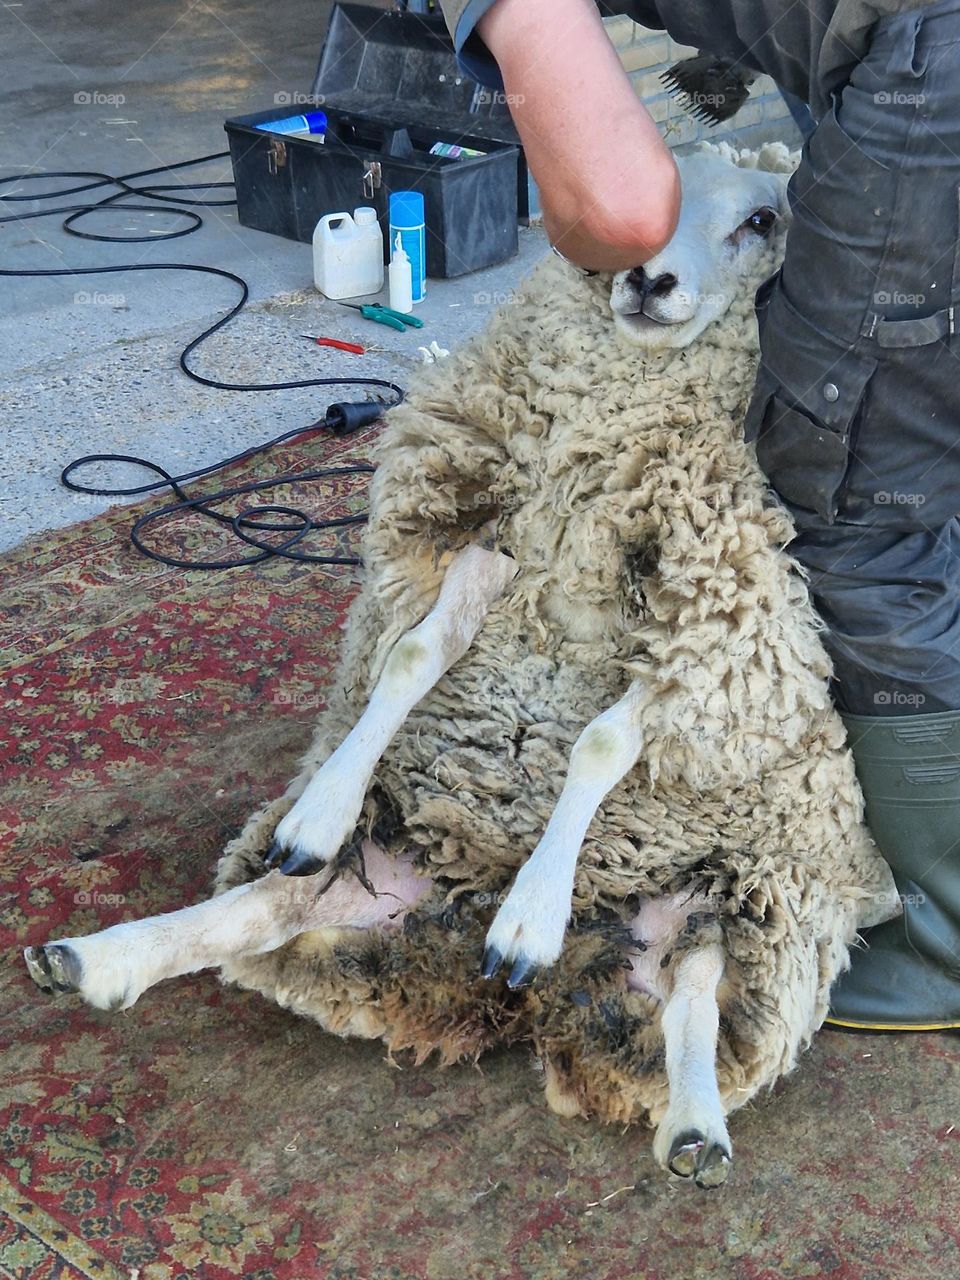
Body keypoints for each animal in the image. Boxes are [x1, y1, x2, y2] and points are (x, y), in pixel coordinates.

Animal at [24, 144, 899, 1189]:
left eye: (762, 221)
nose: (649, 280)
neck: (595, 454)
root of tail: (545, 1002)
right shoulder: (501, 540)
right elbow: (413, 654)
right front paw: (322, 805)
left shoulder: (716, 624)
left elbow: (601, 740)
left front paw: (531, 912)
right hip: (385, 877)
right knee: (260, 911)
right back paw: (100, 958)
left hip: (748, 897)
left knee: (694, 987)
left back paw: (693, 1128)